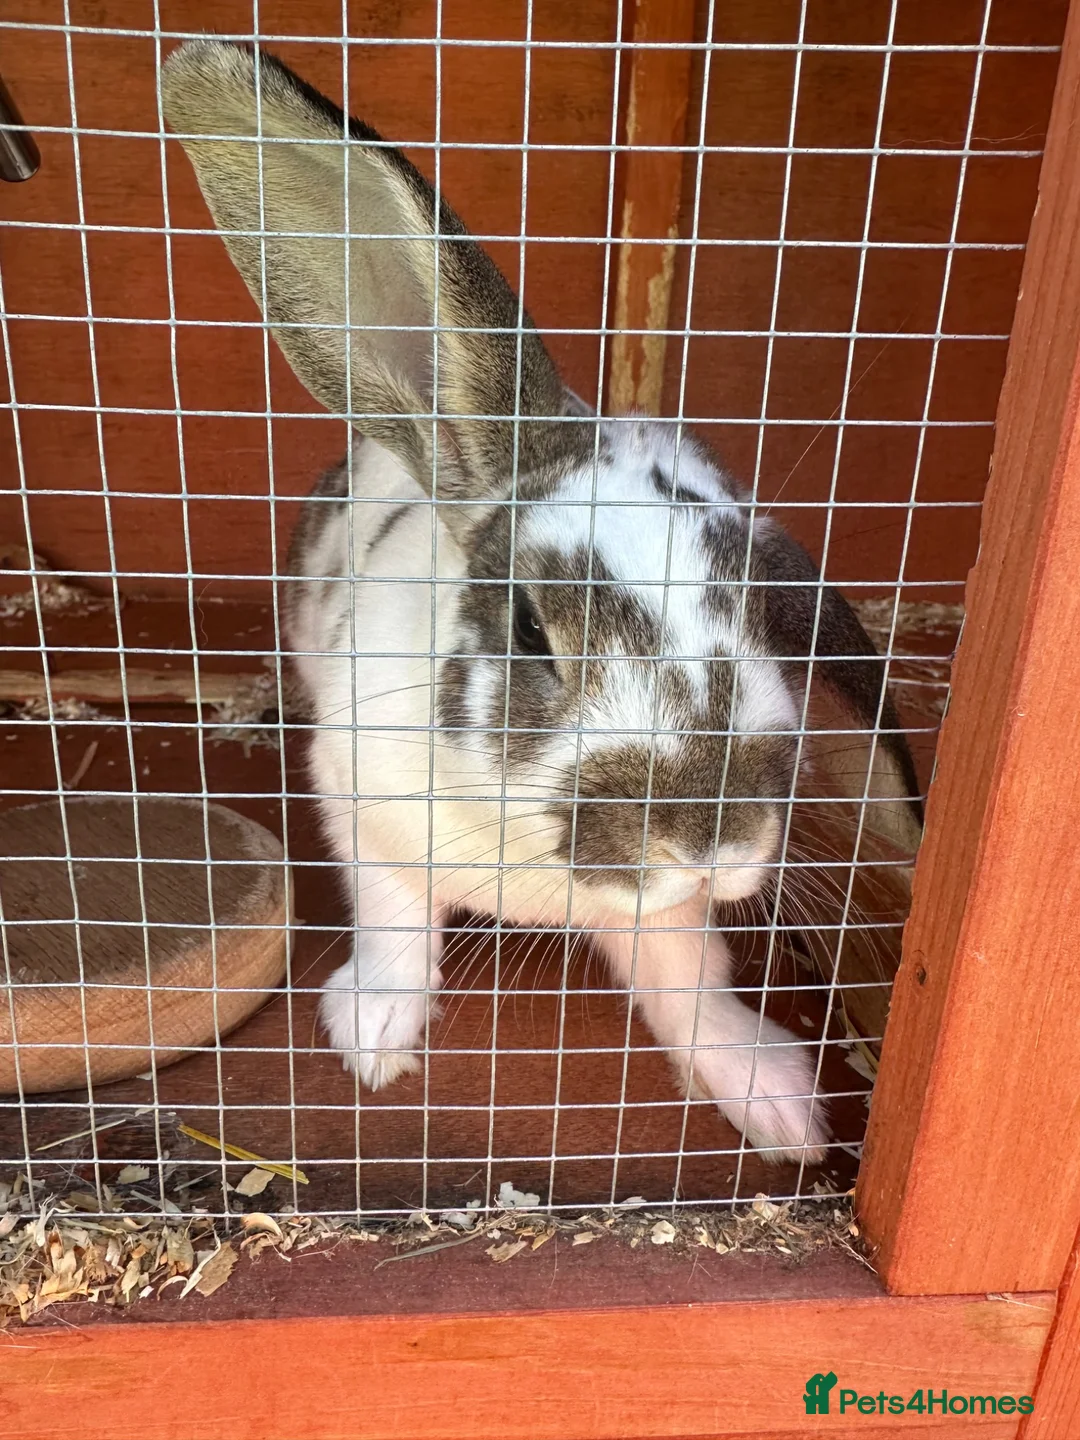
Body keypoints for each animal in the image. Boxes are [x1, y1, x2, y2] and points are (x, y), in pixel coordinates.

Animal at [162, 40, 923, 1163]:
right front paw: (375, 1036)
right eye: (531, 629)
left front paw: (777, 1102)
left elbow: (692, 985)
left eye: (768, 614)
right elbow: (395, 923)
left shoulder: (668, 917)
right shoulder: (365, 808)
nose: (708, 839)